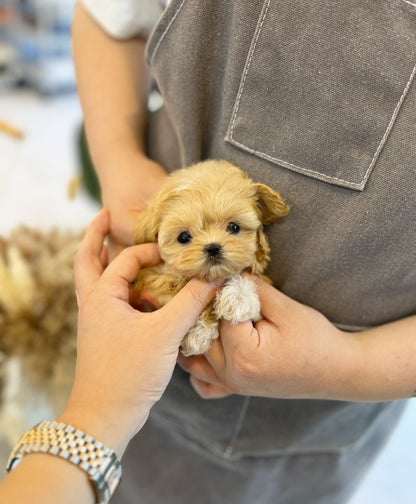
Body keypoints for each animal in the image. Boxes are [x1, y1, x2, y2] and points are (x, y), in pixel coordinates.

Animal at [134, 160, 290, 354]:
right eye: (184, 237)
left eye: (233, 227)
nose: (213, 248)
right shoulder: (153, 280)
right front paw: (199, 332)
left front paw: (237, 298)